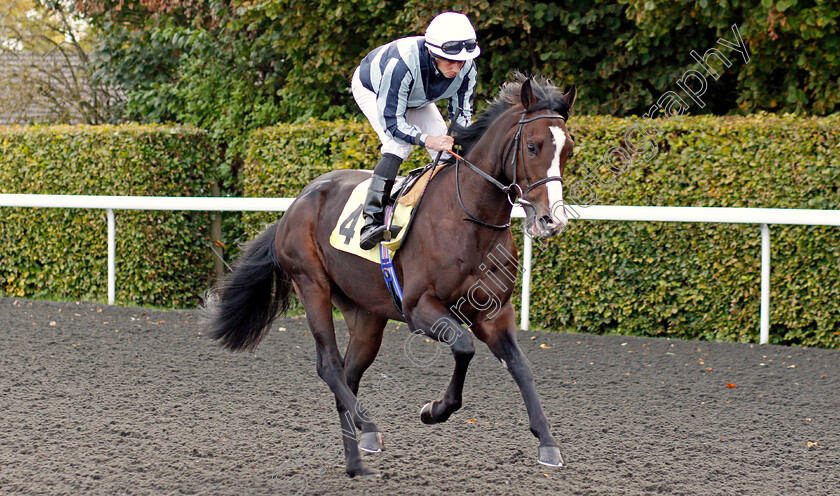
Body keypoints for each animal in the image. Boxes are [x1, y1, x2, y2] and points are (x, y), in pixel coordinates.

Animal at [208, 74, 576, 476]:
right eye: (532, 146)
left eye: (568, 151)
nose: (552, 220)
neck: (470, 220)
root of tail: (297, 202)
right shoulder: (419, 308)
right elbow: (464, 347)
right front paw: (434, 410)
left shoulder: (495, 312)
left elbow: (521, 366)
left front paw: (548, 442)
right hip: (311, 284)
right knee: (329, 366)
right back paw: (369, 427)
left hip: (366, 315)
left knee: (348, 375)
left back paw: (356, 460)